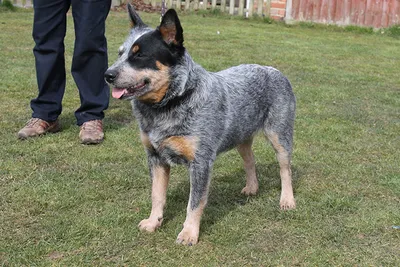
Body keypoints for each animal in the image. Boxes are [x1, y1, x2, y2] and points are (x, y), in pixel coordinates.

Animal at [104, 6, 296, 246]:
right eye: (120, 53)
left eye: (140, 54)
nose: (108, 74)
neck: (174, 101)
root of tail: (274, 70)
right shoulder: (155, 158)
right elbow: (157, 195)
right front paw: (153, 222)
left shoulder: (201, 162)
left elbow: (194, 203)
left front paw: (189, 233)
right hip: (241, 136)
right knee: (250, 160)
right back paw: (252, 187)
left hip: (280, 135)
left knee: (285, 168)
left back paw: (287, 200)